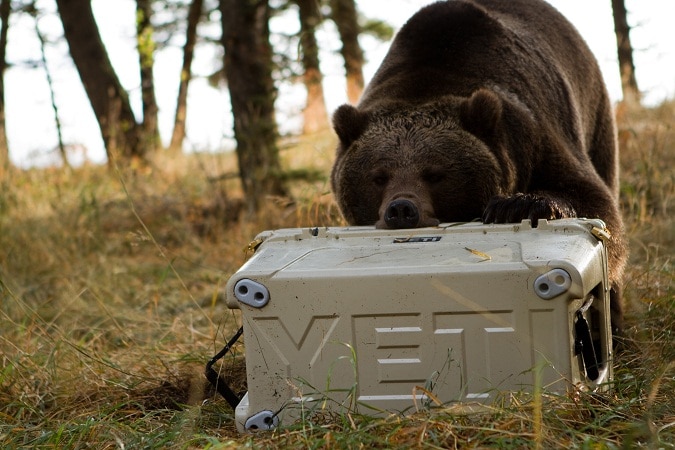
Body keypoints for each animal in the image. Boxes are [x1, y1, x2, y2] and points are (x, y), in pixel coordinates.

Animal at [330, 0, 632, 332]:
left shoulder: (537, 133)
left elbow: (593, 200)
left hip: (595, 116)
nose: (401, 210)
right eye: (379, 177)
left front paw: (516, 206)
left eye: (435, 174)